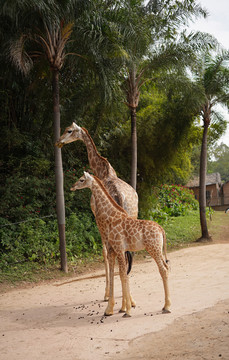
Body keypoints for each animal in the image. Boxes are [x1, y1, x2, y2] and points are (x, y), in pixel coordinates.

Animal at [55, 123, 138, 300]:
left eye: (69, 131)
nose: (58, 142)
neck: (103, 171)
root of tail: (119, 195)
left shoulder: (97, 219)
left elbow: (104, 252)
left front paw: (106, 293)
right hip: (132, 215)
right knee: (128, 252)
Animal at [70, 173, 171, 316]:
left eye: (81, 180)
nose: (72, 187)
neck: (111, 216)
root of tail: (161, 229)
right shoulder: (116, 249)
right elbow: (121, 273)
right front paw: (115, 308)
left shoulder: (118, 247)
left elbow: (123, 274)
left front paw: (126, 310)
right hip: (158, 250)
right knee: (166, 267)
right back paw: (165, 305)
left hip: (154, 249)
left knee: (163, 270)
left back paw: (167, 306)